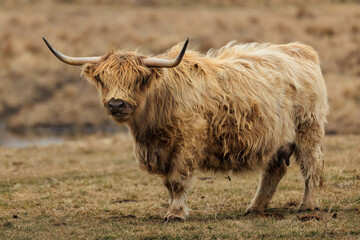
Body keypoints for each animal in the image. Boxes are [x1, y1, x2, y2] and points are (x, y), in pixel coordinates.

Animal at [43, 38, 328, 222]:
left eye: (137, 79)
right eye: (103, 79)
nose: (116, 103)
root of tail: (298, 50)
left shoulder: (187, 142)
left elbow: (179, 180)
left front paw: (176, 214)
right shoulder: (161, 151)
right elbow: (169, 183)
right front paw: (173, 209)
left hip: (307, 130)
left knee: (312, 166)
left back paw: (307, 206)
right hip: (273, 138)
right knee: (274, 171)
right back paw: (254, 208)